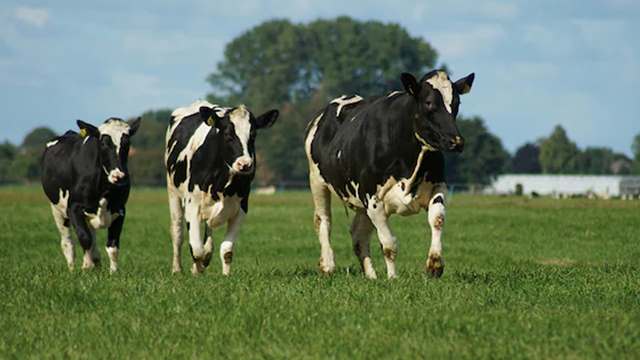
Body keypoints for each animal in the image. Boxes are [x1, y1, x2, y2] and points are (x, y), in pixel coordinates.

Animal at [41, 118, 141, 272]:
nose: (119, 176)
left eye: (127, 143)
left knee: (92, 238)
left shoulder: (120, 209)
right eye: (103, 143)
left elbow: (113, 245)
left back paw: (96, 262)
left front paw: (113, 272)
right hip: (57, 209)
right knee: (68, 243)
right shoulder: (74, 207)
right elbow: (84, 238)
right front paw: (86, 265)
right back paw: (73, 269)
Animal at [165, 100, 278, 274]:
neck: (222, 182)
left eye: (253, 135)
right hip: (173, 192)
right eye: (227, 134)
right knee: (177, 233)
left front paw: (225, 275)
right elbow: (196, 249)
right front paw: (198, 268)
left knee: (208, 228)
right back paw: (177, 269)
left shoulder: (241, 207)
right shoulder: (192, 204)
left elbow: (226, 251)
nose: (245, 164)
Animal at [304, 69, 476, 278]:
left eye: (457, 103)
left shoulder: (438, 185)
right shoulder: (373, 199)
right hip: (317, 181)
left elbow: (437, 219)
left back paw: (371, 276)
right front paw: (393, 278)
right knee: (323, 220)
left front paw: (434, 264)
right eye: (429, 102)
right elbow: (389, 245)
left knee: (358, 234)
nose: (456, 141)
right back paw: (328, 265)